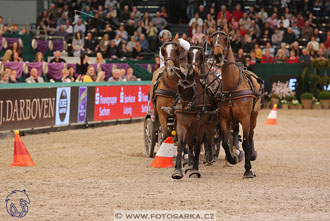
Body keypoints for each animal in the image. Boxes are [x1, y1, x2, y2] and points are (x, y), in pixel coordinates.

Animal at [210, 27, 264, 178]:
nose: (217, 56)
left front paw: (248, 170)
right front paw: (232, 158)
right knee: (234, 133)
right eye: (211, 40)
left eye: (226, 39)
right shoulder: (224, 119)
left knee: (251, 135)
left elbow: (246, 143)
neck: (231, 87)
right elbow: (224, 143)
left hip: (253, 116)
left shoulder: (245, 119)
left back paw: (252, 154)